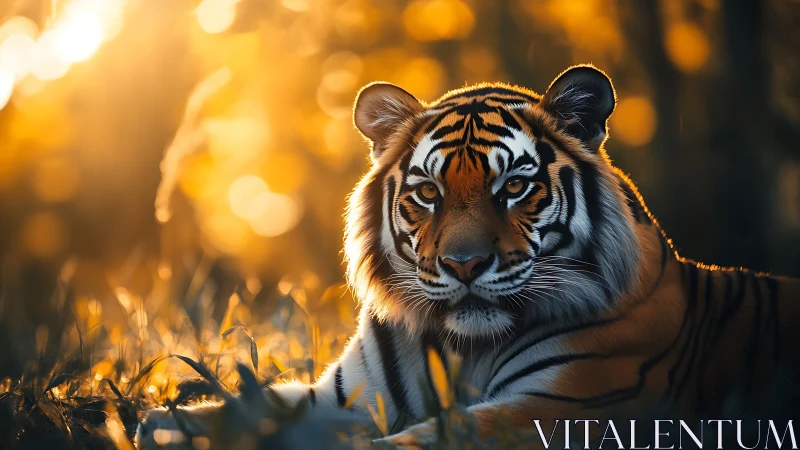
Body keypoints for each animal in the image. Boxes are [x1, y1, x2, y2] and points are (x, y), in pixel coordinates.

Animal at [137, 65, 800, 449]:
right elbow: (255, 406)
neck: (463, 347)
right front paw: (165, 422)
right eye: (428, 193)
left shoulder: (563, 405)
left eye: (515, 187)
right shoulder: (349, 397)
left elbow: (418, 440)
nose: (463, 265)